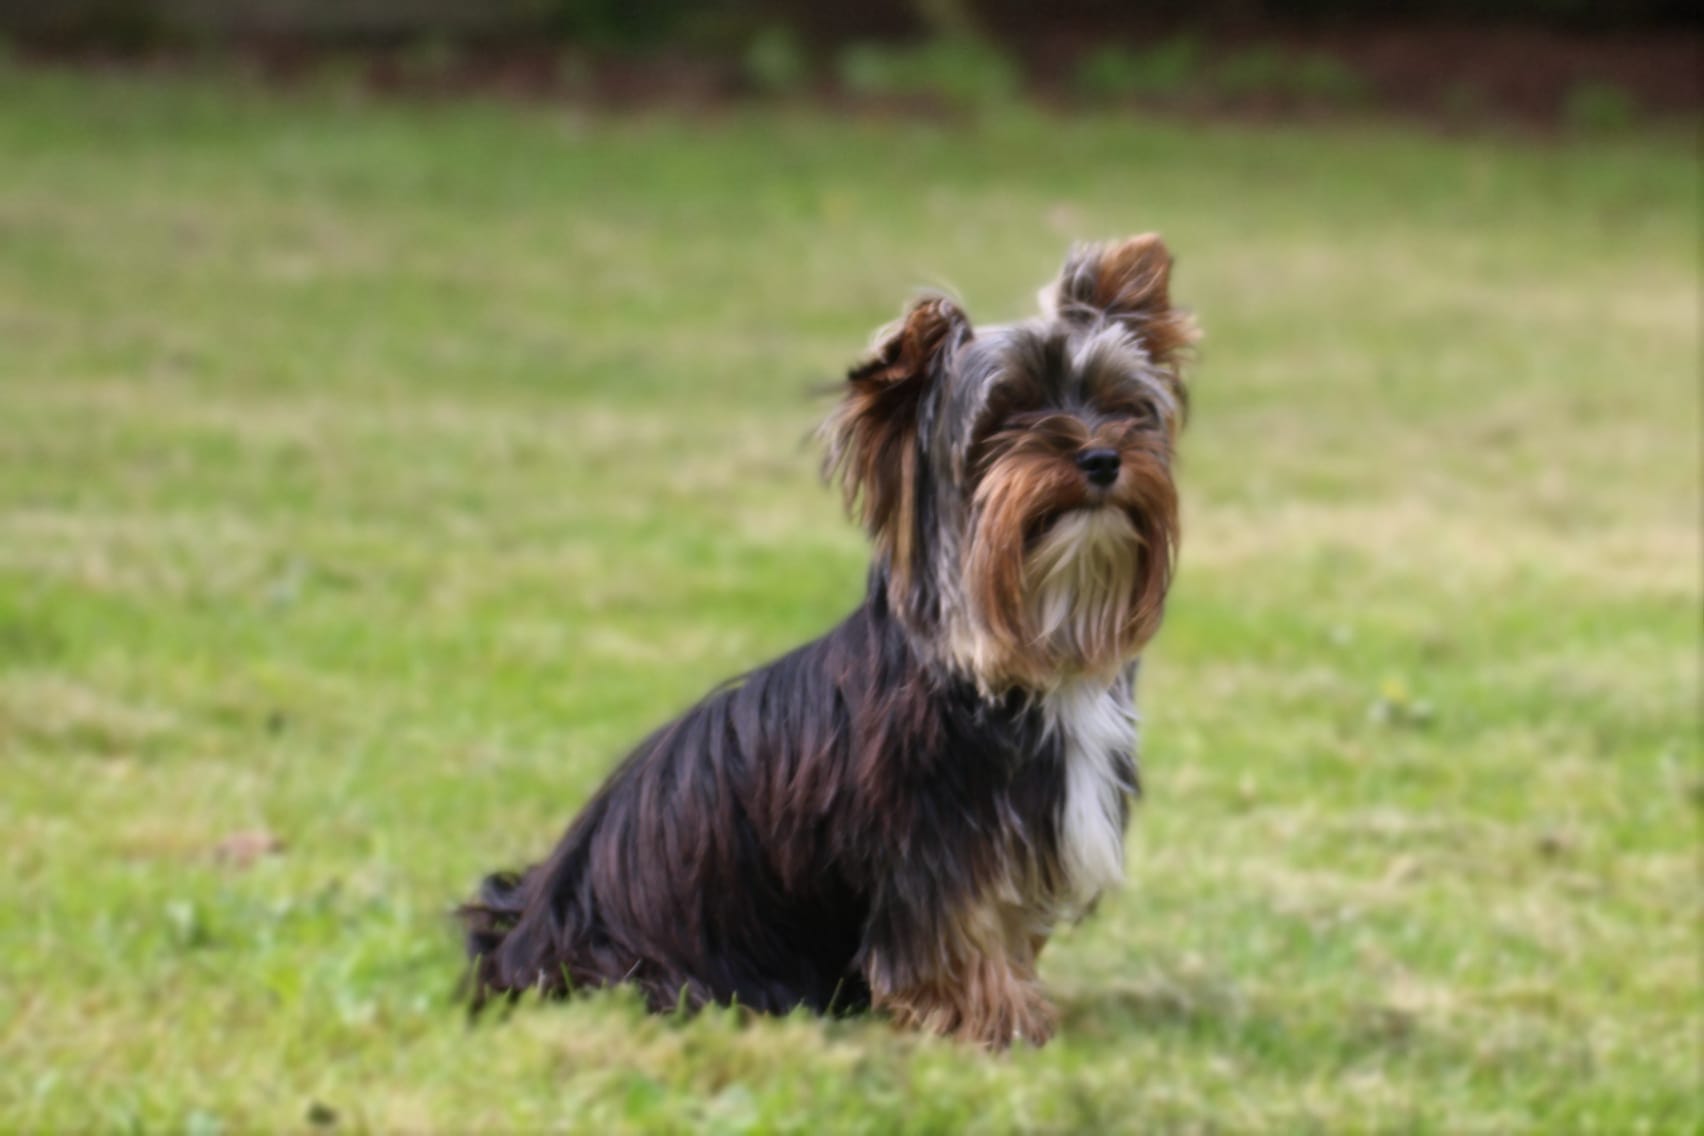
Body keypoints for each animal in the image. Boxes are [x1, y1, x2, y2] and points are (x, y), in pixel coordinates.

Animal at [456, 233, 1199, 1049]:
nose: (1102, 458)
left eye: (1122, 407)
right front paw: (991, 1020)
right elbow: (957, 932)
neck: (1003, 658)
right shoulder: (934, 841)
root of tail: (528, 933)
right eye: (1006, 417)